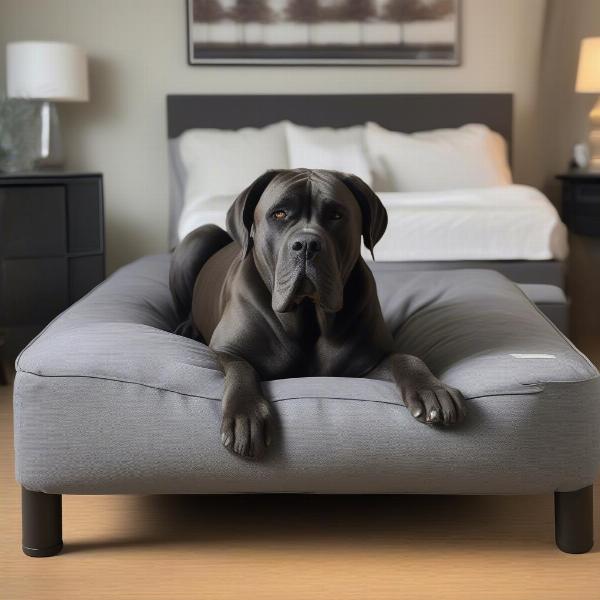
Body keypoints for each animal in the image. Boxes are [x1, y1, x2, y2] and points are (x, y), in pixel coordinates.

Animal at [171, 169, 466, 460]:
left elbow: (404, 358)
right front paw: (244, 414)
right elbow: (241, 368)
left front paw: (431, 390)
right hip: (201, 236)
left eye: (336, 215)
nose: (306, 244)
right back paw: (186, 327)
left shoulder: (367, 364)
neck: (309, 318)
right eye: (279, 214)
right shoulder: (226, 350)